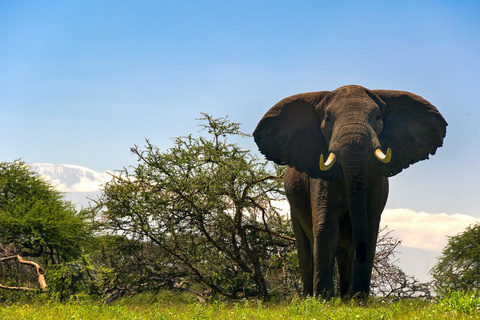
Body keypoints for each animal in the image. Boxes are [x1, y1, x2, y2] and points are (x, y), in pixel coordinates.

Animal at [253, 84, 448, 298]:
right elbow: (326, 227)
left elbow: (369, 228)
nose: (353, 294)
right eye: (328, 118)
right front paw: (324, 299)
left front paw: (356, 299)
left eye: (377, 117)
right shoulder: (320, 180)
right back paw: (311, 296)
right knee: (305, 248)